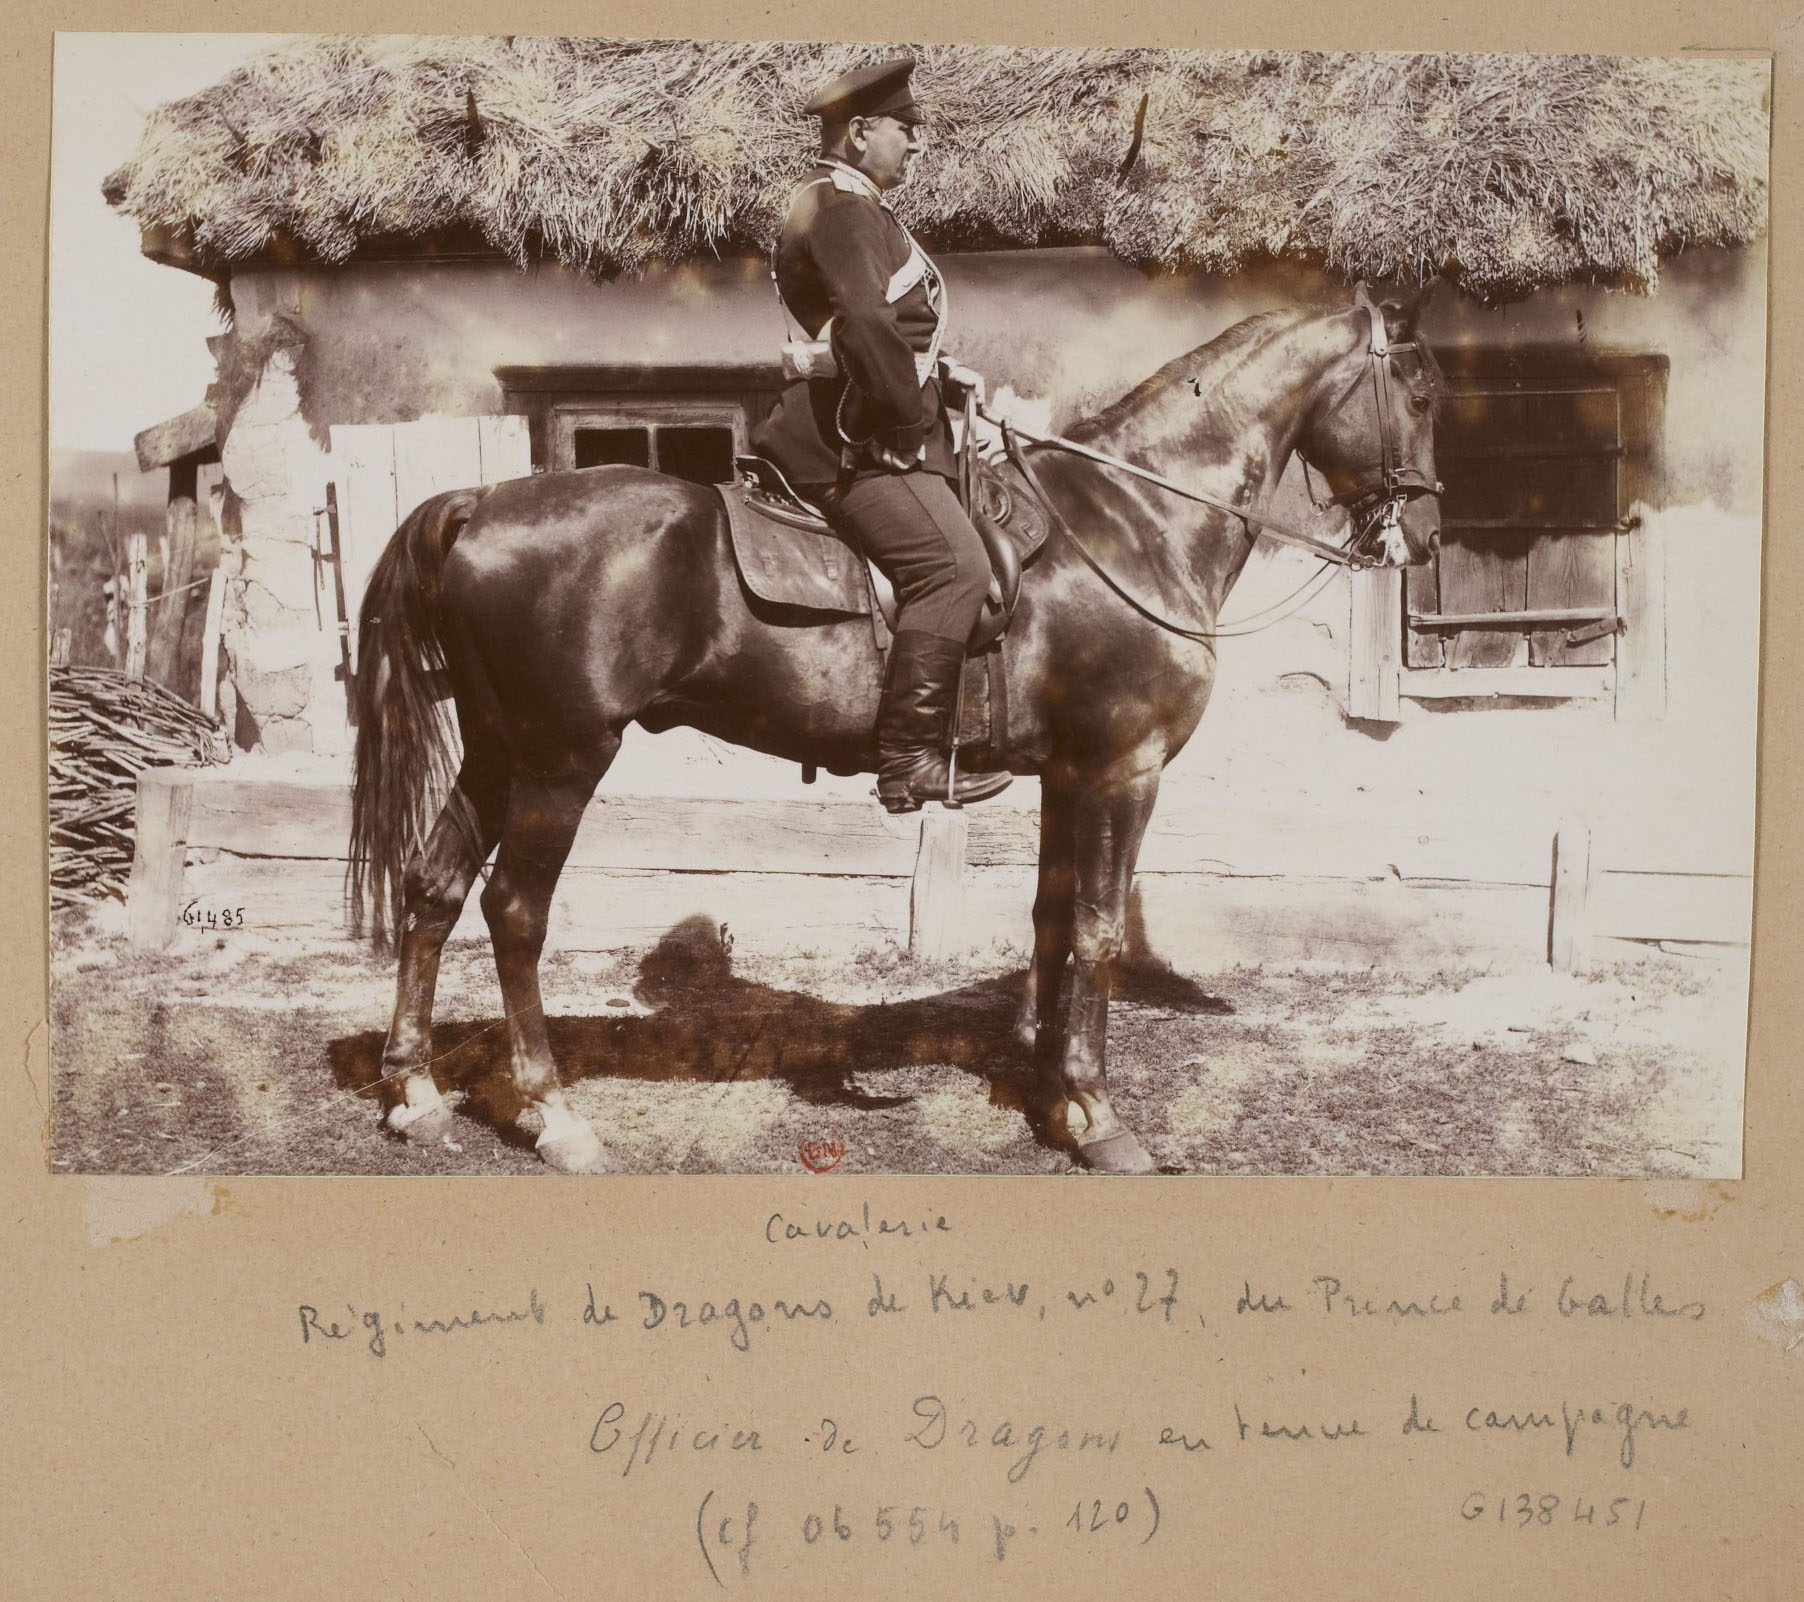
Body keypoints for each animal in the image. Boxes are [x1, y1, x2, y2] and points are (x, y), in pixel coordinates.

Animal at [348, 283, 1442, 1175]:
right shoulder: (1119, 770)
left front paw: (1051, 1090)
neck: (1134, 518)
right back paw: (553, 1113)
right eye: (1424, 394)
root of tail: (483, 502)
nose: (1425, 539)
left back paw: (415, 1090)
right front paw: (1097, 1114)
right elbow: (1094, 929)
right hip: (562, 757)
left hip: (498, 752)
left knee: (433, 887)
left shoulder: (1067, 776)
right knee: (514, 913)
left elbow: (1051, 919)